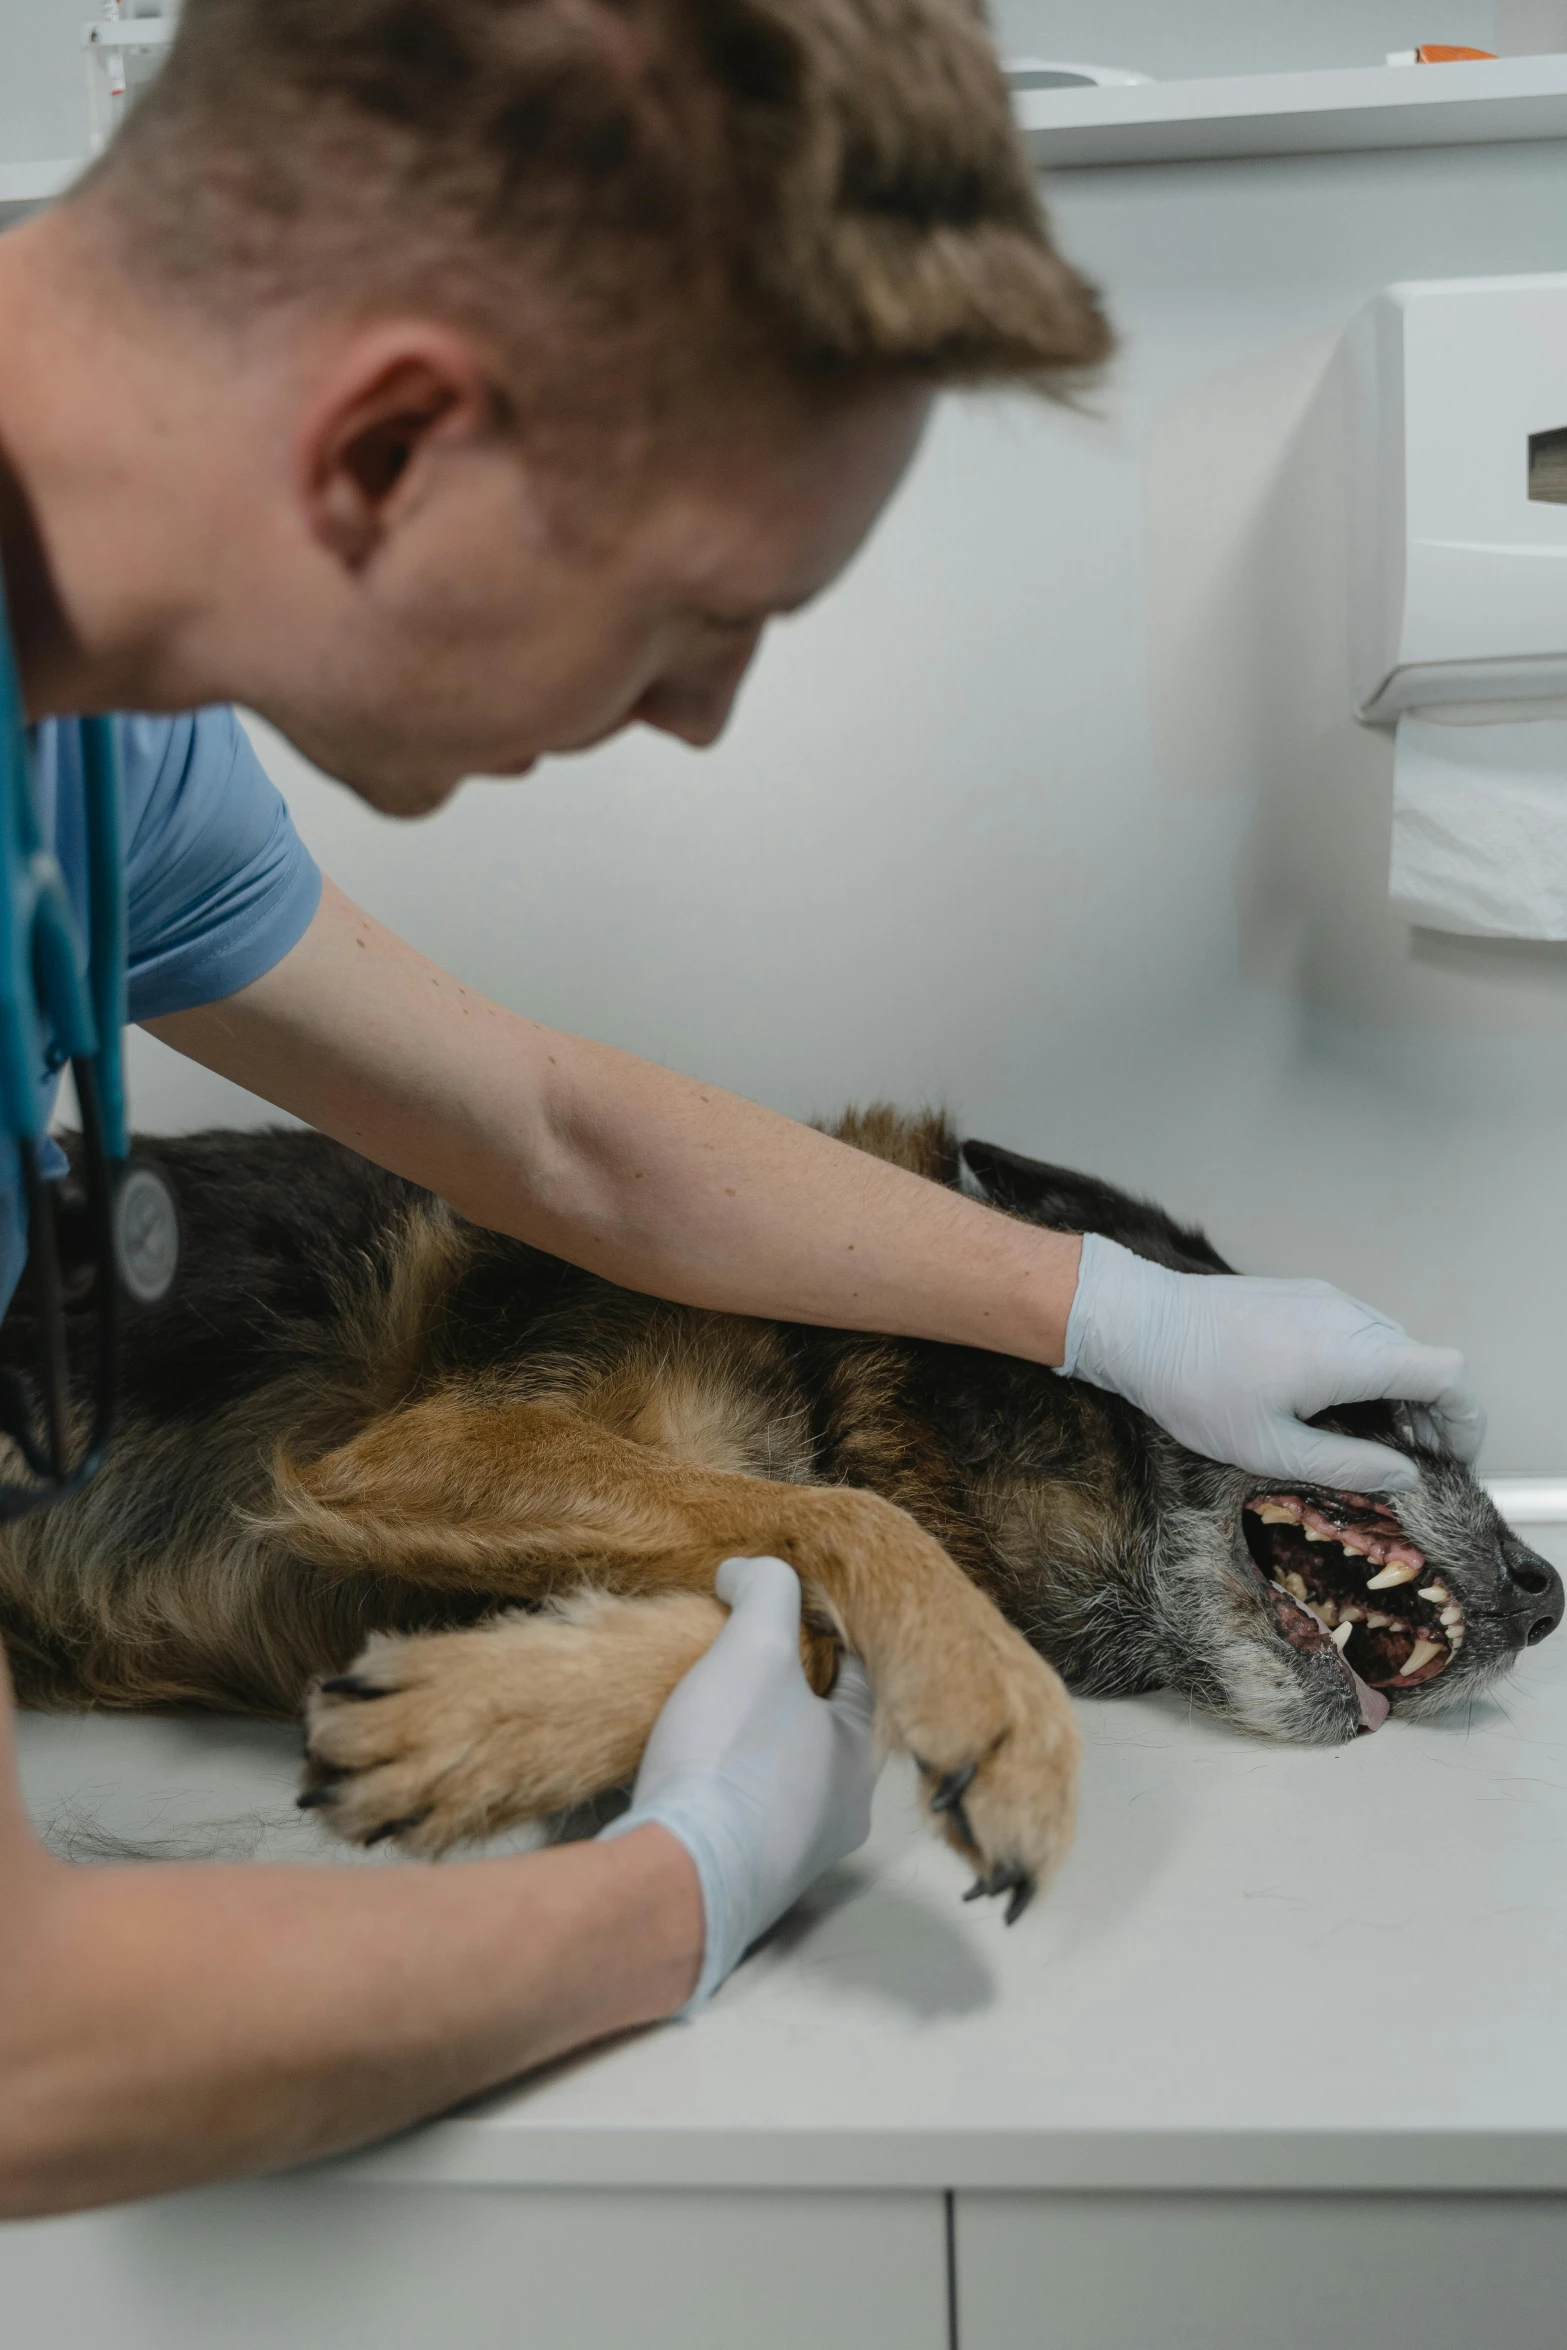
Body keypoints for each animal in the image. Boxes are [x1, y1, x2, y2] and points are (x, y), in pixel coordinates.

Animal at [0, 1109, 1559, 1917]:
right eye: (1392, 1414)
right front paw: (992, 1702)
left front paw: (480, 1718)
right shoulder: (412, 1450)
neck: (869, 1369)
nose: (1547, 1588)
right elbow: (848, 1525)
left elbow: (778, 1608)